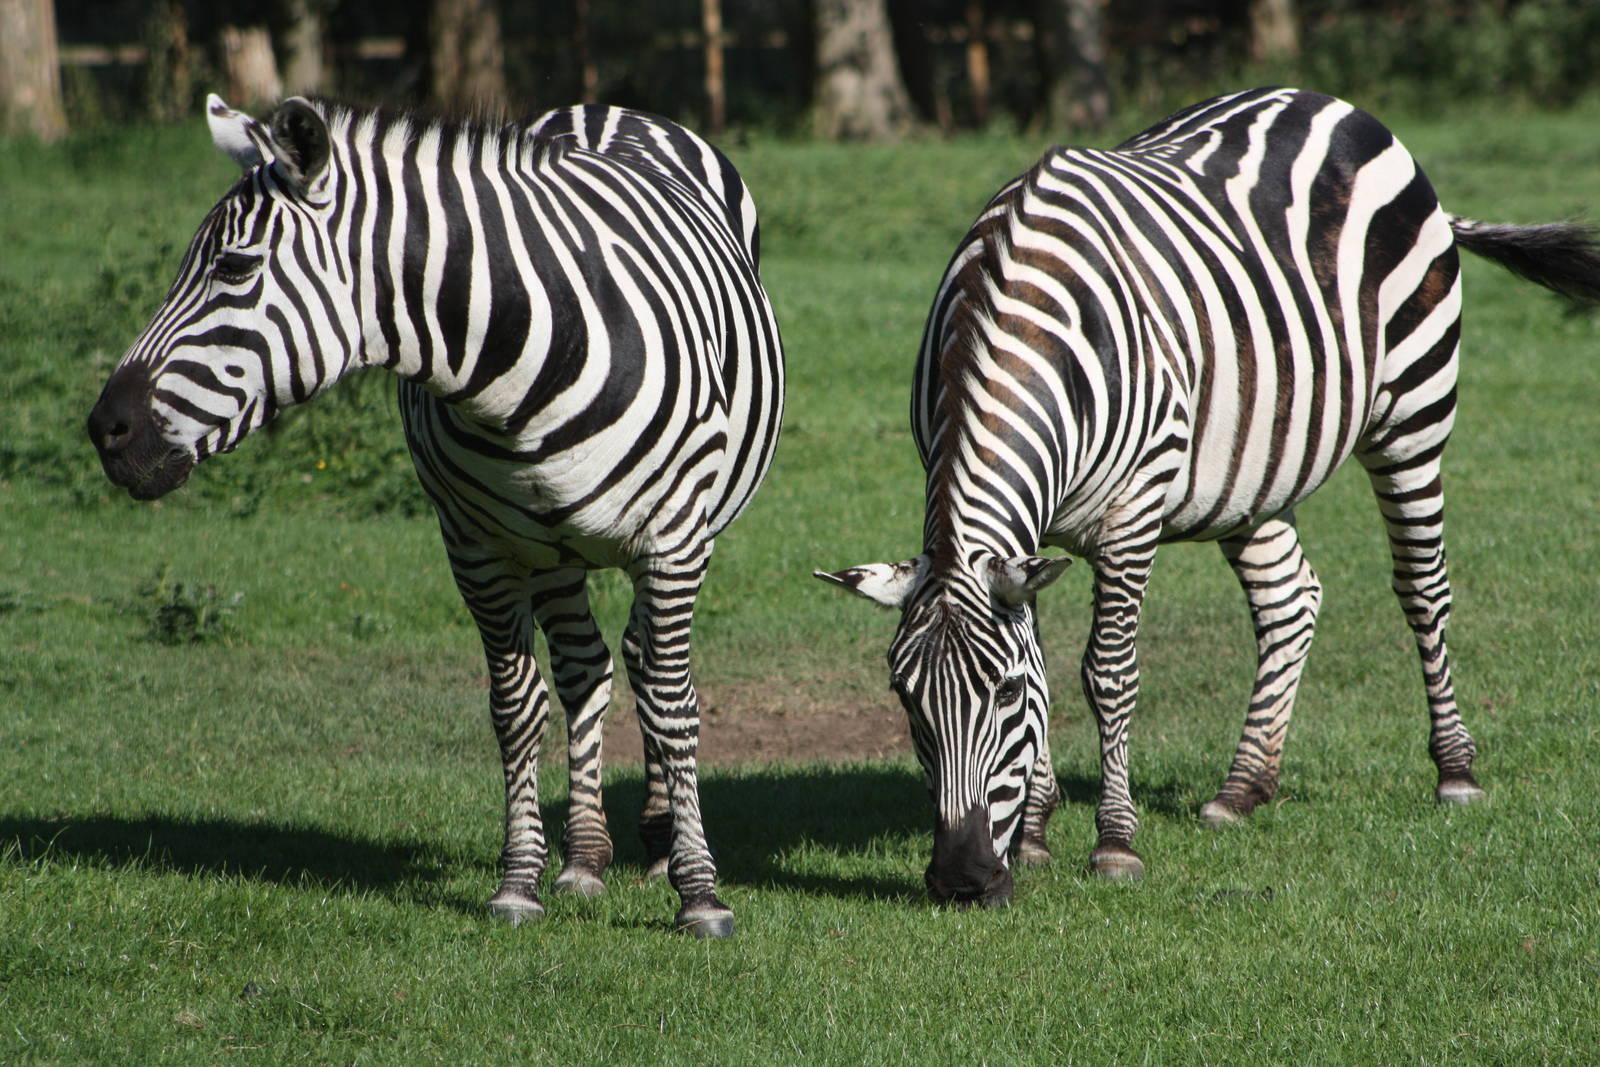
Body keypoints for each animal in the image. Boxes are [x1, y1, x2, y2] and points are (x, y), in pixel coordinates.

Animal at [86, 94, 785, 938]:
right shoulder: (478, 546)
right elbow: (516, 707)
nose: (105, 430)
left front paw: (701, 893)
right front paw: (518, 881)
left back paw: (656, 842)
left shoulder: (675, 540)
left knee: (643, 663)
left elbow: (674, 705)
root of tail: (602, 108)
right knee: (585, 667)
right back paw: (585, 858)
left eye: (235, 268)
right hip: (551, 550)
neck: (519, 365)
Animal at [818, 87, 1600, 906]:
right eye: (905, 700)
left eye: (1001, 696)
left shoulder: (1130, 514)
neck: (1013, 315)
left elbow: (1107, 673)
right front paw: (1033, 836)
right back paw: (1243, 788)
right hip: (1256, 470)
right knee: (1291, 597)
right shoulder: (1028, 537)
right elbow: (1045, 655)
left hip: (1413, 410)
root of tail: (1334, 103)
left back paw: (1455, 770)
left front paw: (1114, 843)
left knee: (1422, 587)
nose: (963, 878)